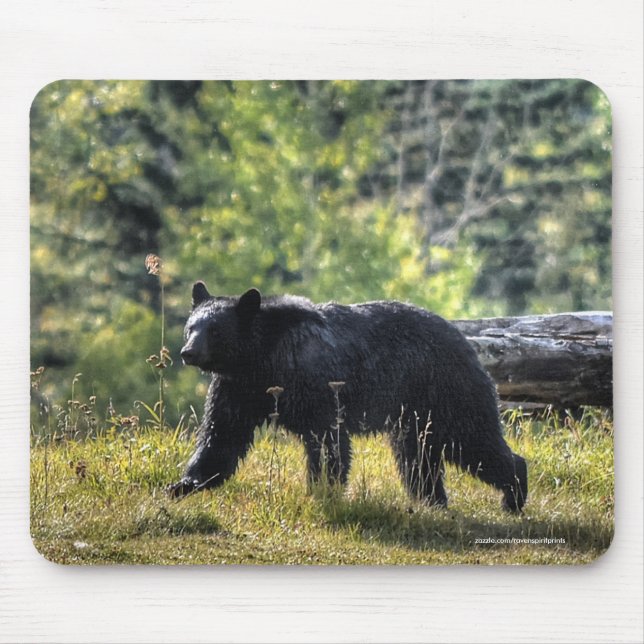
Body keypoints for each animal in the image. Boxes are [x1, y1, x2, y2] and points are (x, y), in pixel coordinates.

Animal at [169, 282, 527, 512]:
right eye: (191, 326)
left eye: (215, 330)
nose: (188, 352)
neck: (262, 359)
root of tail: (466, 339)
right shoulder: (238, 389)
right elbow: (221, 436)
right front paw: (184, 484)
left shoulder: (315, 384)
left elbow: (328, 441)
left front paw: (322, 490)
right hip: (414, 414)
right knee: (418, 457)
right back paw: (431, 501)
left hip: (446, 392)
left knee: (473, 441)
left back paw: (513, 493)